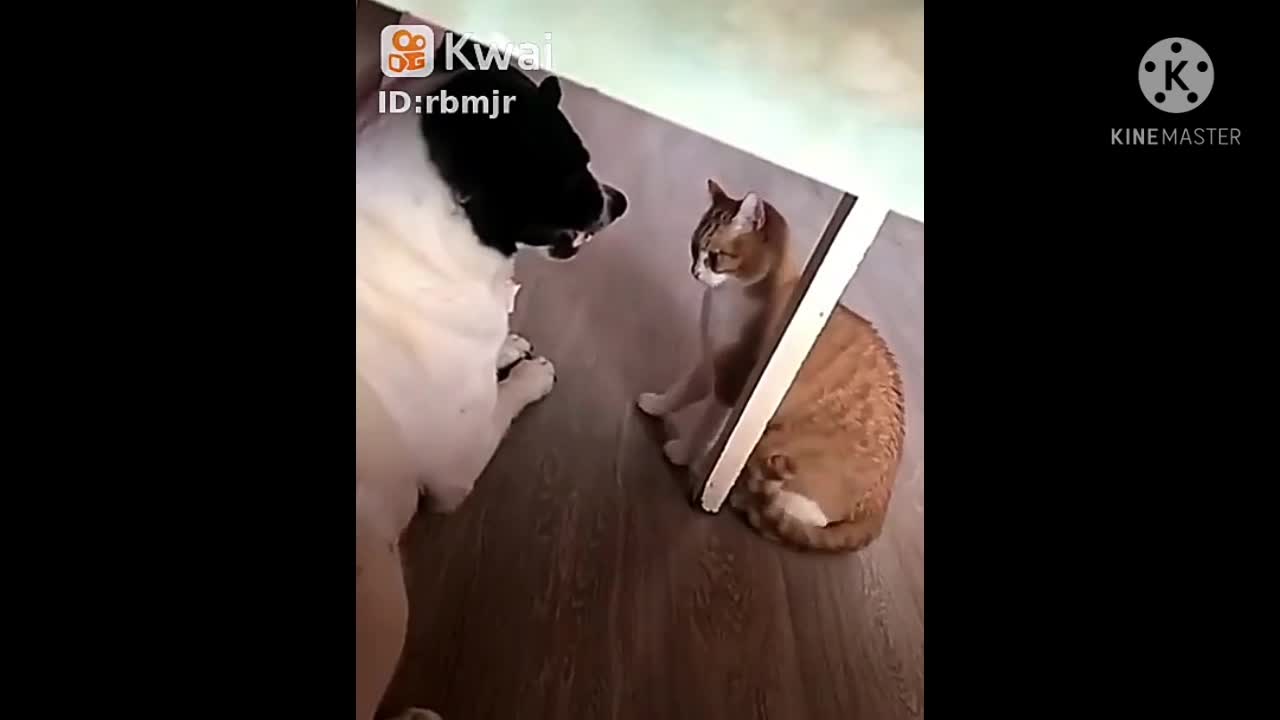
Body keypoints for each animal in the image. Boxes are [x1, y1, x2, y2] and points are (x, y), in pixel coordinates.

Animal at [355, 37, 624, 717]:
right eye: (573, 166)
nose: (620, 201)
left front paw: (510, 344)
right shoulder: (459, 461)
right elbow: (508, 397)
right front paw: (531, 372)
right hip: (382, 587)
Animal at [634, 178, 906, 548]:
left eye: (715, 257)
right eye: (694, 248)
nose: (695, 271)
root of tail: (881, 506)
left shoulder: (731, 383)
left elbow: (705, 428)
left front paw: (683, 454)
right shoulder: (710, 361)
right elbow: (681, 391)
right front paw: (655, 405)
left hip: (778, 453)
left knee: (790, 508)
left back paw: (739, 492)